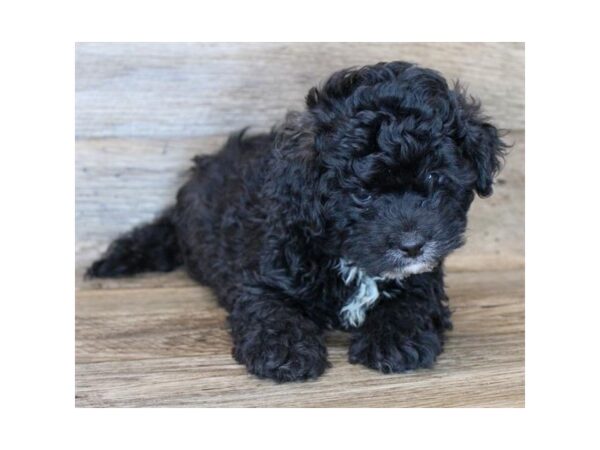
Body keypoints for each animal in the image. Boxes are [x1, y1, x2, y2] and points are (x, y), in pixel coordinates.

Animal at [86, 61, 504, 382]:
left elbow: (412, 301)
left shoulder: (424, 276)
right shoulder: (262, 275)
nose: (413, 245)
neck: (347, 257)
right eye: (362, 194)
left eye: (434, 178)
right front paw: (284, 350)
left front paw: (395, 340)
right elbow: (272, 309)